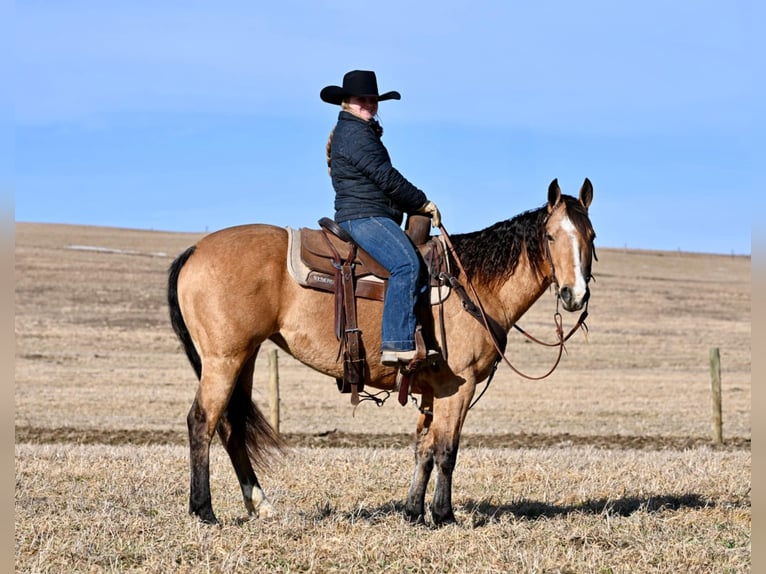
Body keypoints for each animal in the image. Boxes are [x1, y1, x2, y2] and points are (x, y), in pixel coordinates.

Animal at [166, 178, 600, 524]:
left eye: (591, 237)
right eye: (550, 237)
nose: (574, 295)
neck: (472, 284)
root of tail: (195, 249)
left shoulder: (434, 389)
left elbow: (423, 448)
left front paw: (413, 512)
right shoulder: (458, 388)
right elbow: (446, 450)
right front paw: (444, 515)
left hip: (246, 357)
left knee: (230, 426)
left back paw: (260, 505)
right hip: (224, 359)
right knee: (202, 422)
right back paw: (204, 510)